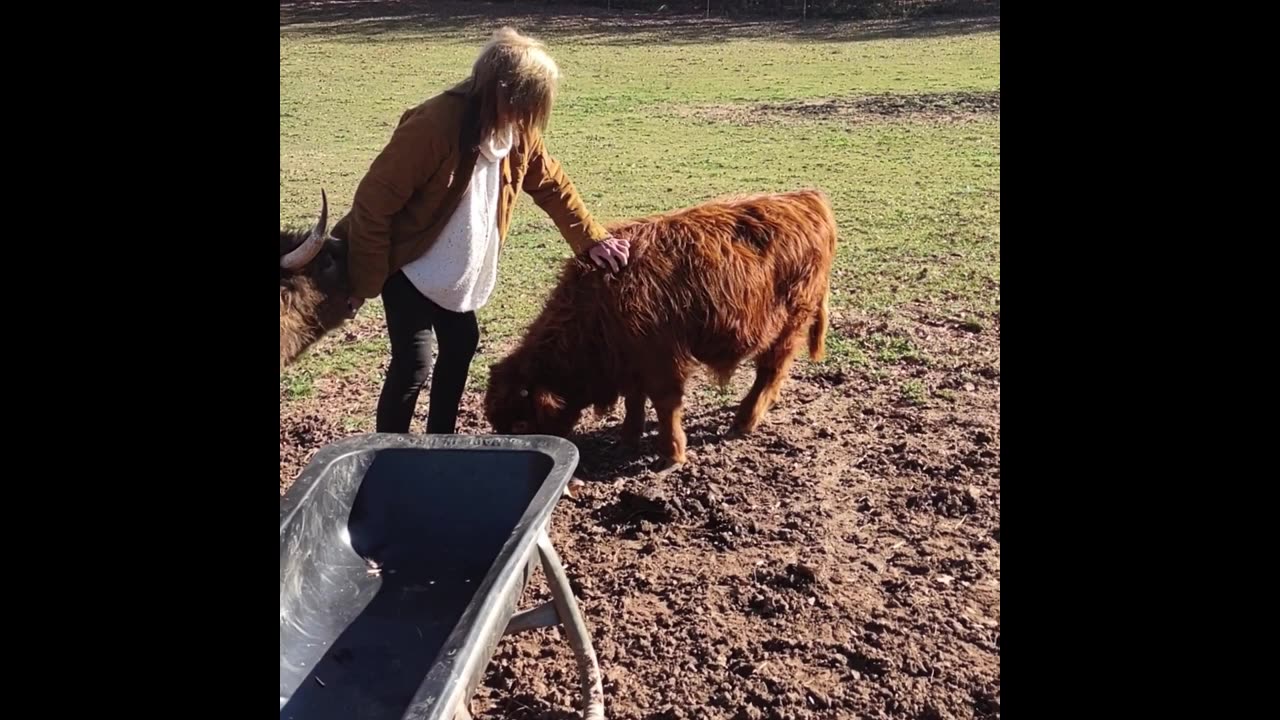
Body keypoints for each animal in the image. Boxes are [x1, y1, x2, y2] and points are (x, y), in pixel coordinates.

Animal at [483, 188, 834, 466]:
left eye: (520, 424)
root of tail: (806, 198)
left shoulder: (662, 360)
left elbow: (666, 405)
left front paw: (671, 454)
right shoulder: (633, 362)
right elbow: (634, 400)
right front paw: (627, 439)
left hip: (790, 323)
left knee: (771, 369)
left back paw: (744, 421)